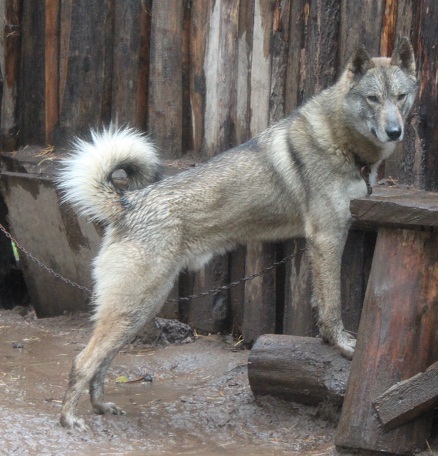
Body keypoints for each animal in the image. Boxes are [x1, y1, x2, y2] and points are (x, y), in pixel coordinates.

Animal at [57, 36, 418, 432]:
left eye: (400, 96)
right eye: (372, 98)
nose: (395, 131)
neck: (340, 138)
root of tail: (127, 201)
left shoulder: (323, 240)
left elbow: (322, 304)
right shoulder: (327, 236)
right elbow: (333, 305)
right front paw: (342, 345)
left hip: (139, 311)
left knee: (102, 363)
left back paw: (101, 407)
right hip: (135, 307)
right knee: (82, 361)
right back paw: (69, 419)